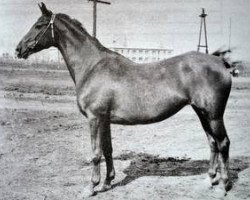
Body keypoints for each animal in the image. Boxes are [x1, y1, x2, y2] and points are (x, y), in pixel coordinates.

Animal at [16, 2, 232, 198]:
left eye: (39, 25)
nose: (19, 49)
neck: (92, 66)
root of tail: (220, 62)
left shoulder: (94, 118)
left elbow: (96, 153)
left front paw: (91, 187)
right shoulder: (104, 119)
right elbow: (108, 149)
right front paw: (107, 183)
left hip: (214, 115)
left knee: (223, 143)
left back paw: (223, 185)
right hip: (202, 113)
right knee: (212, 142)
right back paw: (209, 180)